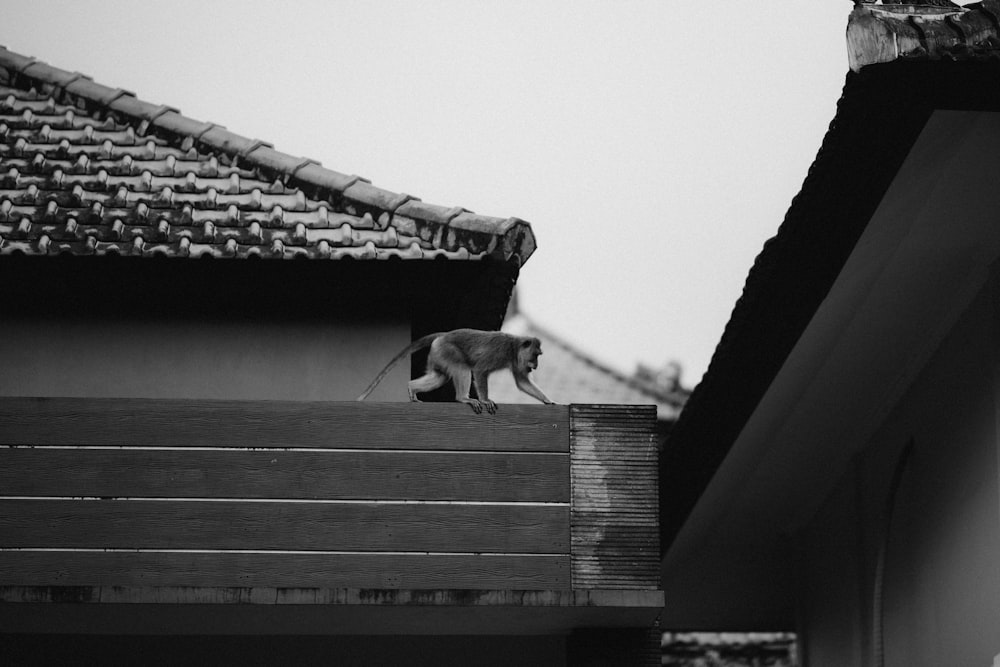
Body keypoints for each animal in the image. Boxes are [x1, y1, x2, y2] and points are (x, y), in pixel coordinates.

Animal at [356, 328, 556, 412]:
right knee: (462, 368)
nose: (536, 365)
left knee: (440, 377)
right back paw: (462, 398)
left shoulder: (516, 361)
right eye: (536, 355)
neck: (513, 348)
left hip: (438, 354)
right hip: (447, 350)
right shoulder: (499, 352)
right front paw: (485, 400)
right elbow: (480, 370)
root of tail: (444, 335)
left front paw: (548, 400)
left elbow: (522, 382)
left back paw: (412, 388)